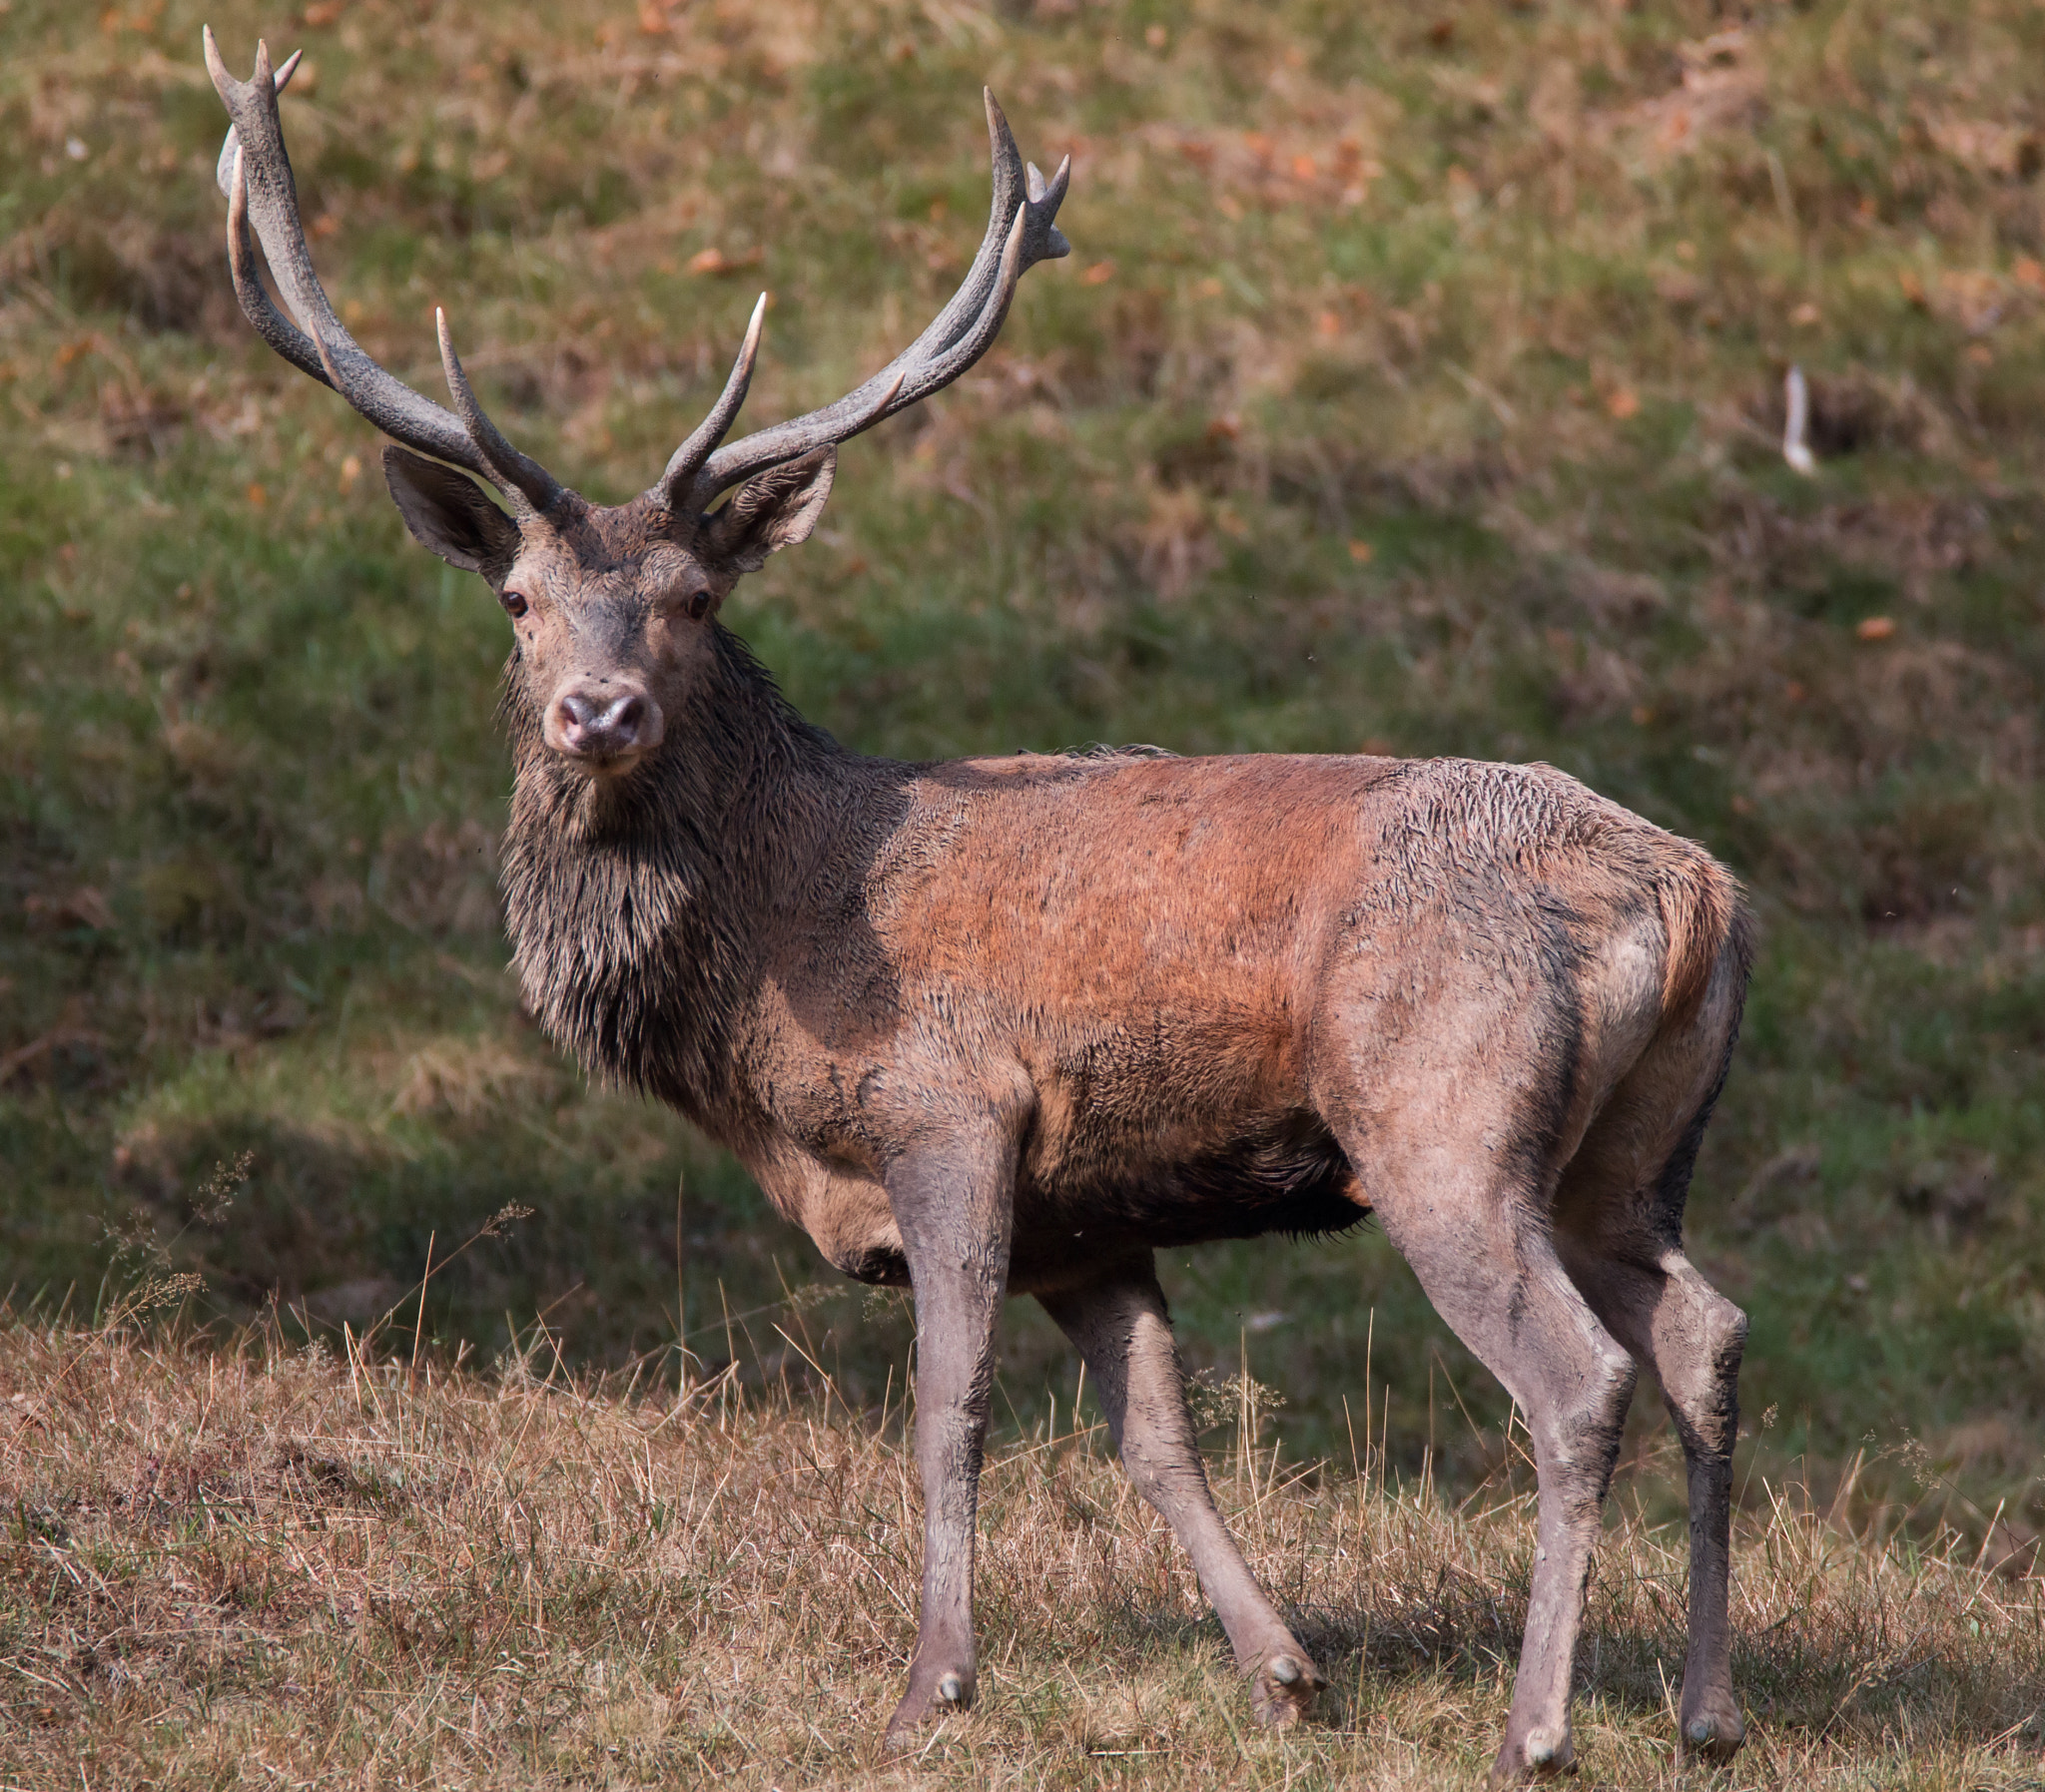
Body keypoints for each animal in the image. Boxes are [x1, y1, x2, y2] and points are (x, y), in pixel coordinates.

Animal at [205, 33, 1754, 1783]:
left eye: (693, 599)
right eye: (520, 599)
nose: (598, 711)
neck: (766, 981)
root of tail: (1694, 892)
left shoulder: (950, 1111)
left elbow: (949, 1408)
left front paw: (932, 1681)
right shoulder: (1093, 1212)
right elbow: (1156, 1434)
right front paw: (1283, 1671)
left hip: (1446, 1115)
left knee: (1581, 1374)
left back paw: (1538, 1719)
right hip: (1631, 1153)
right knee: (1705, 1332)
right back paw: (1706, 1707)